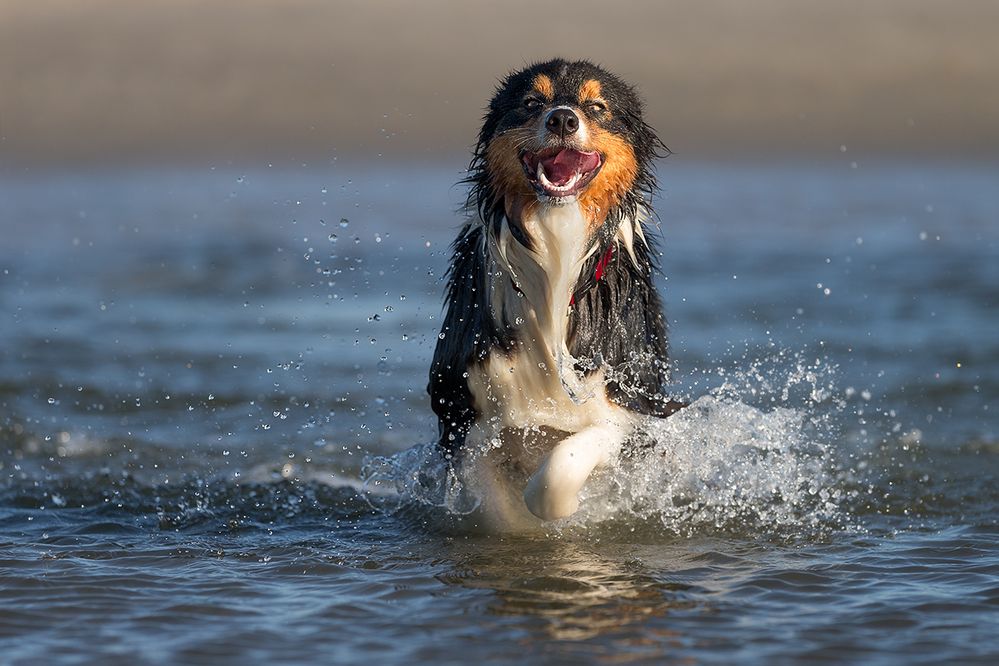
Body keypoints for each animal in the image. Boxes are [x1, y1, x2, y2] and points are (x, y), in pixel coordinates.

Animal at [426, 58, 684, 528]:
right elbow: (498, 504)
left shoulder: (628, 406)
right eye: (531, 102)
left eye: (597, 106)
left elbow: (559, 470)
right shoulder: (462, 409)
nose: (562, 119)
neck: (556, 242)